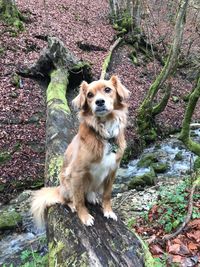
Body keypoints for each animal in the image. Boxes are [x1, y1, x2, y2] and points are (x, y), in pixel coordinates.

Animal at [30, 76, 129, 228]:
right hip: (66, 182)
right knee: (67, 199)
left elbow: (107, 195)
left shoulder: (112, 171)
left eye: (108, 89)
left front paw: (108, 211)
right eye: (89, 95)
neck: (104, 133)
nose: (99, 102)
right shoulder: (76, 173)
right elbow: (79, 200)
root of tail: (58, 189)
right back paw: (72, 205)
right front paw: (84, 216)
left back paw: (92, 196)